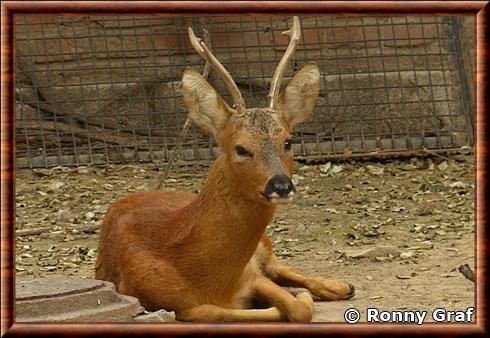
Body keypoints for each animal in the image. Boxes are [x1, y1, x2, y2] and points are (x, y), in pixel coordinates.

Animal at [95, 16, 354, 322]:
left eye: (288, 141)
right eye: (241, 148)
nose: (280, 185)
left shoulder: (251, 274)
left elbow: (295, 307)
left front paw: (302, 294)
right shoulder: (174, 303)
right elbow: (233, 312)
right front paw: (294, 296)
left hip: (264, 247)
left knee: (281, 267)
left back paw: (341, 285)